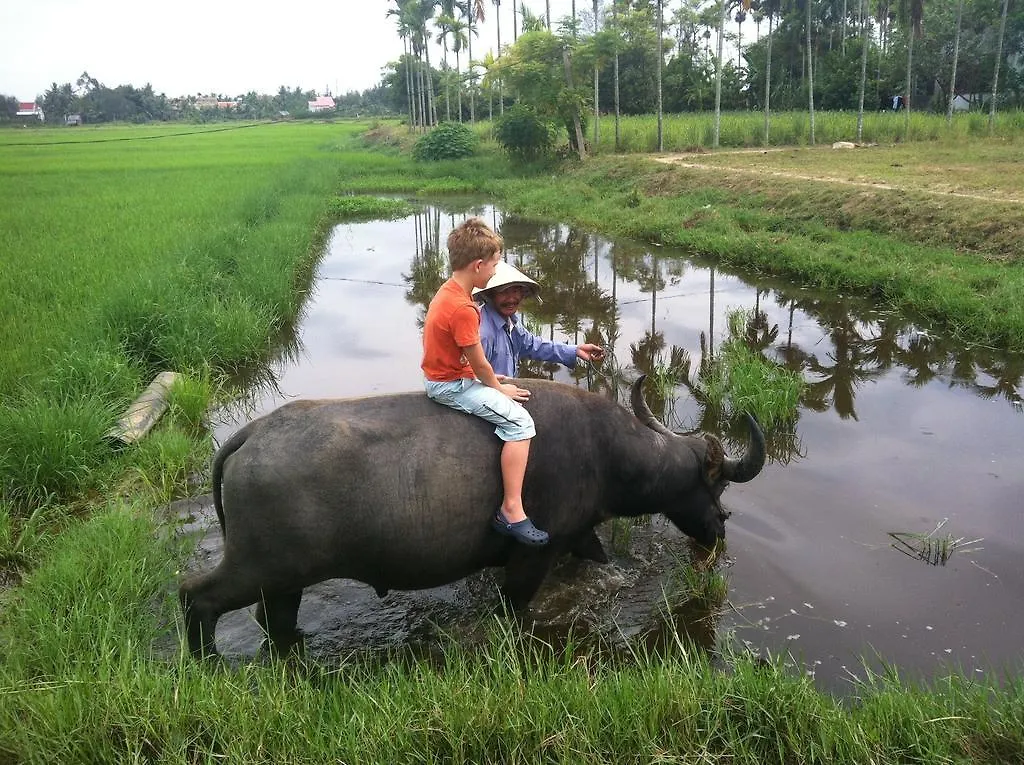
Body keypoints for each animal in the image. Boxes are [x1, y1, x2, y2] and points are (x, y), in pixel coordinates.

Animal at [182, 376, 761, 659]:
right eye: (716, 482)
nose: (721, 524)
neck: (607, 450)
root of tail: (252, 435)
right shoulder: (533, 556)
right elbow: (516, 604)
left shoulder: (578, 538)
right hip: (257, 567)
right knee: (197, 596)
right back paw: (207, 662)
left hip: (284, 579)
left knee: (273, 619)